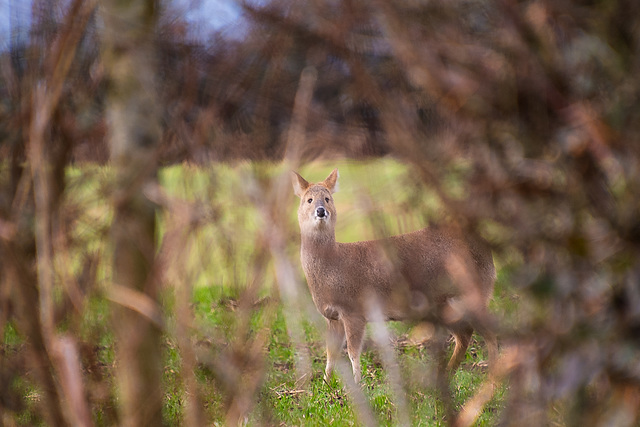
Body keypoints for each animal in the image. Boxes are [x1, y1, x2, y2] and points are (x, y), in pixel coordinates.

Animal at [292, 168, 498, 384]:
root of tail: (486, 249)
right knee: (465, 334)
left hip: (473, 290)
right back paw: (450, 372)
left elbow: (353, 352)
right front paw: (326, 382)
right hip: (446, 304)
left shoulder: (354, 310)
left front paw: (357, 384)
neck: (332, 266)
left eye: (327, 198)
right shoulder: (332, 317)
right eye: (309, 199)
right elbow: (331, 354)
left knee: (489, 332)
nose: (321, 210)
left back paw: (492, 375)